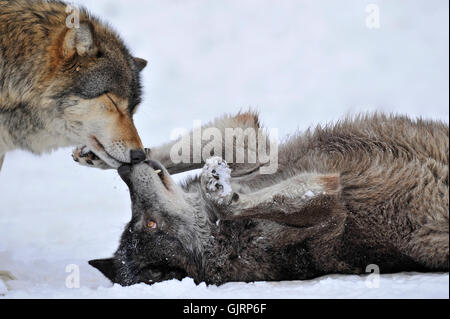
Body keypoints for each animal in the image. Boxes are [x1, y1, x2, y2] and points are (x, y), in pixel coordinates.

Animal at [89, 113, 448, 288]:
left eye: (143, 221)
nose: (125, 172)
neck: (225, 237)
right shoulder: (331, 203)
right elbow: (270, 201)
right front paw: (219, 190)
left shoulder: (255, 153)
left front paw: (101, 153)